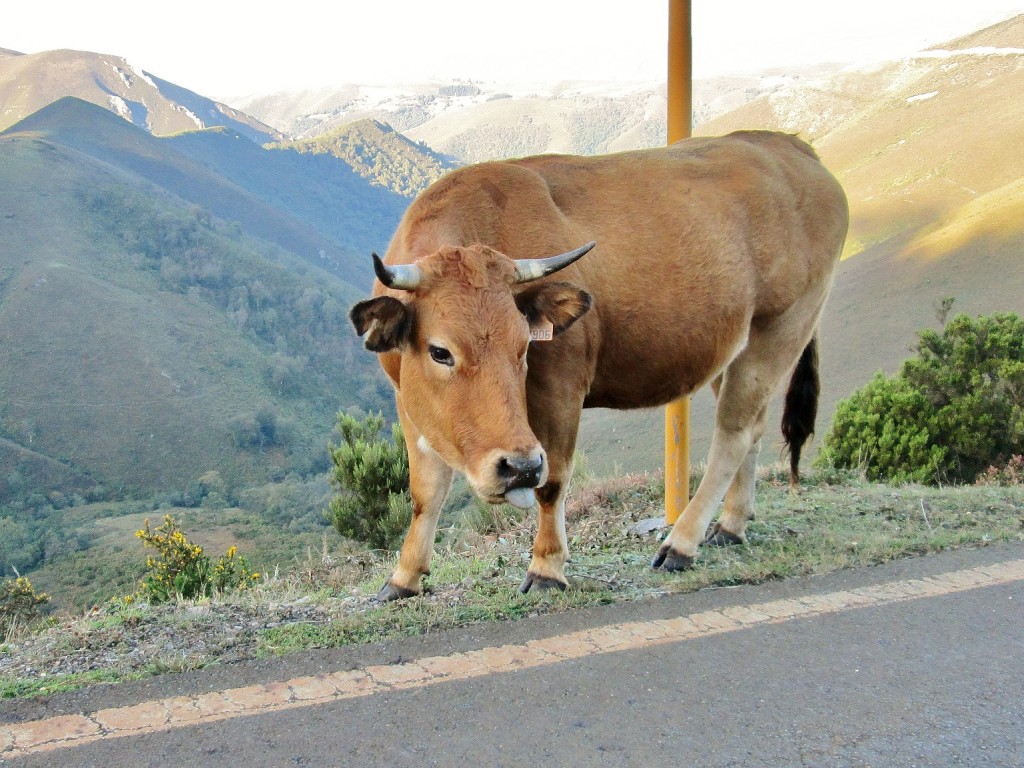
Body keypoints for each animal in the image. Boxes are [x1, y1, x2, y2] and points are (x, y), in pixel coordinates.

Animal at [352, 131, 847, 602]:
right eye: (440, 351)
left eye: (524, 346)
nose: (519, 467)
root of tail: (790, 147)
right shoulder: (410, 404)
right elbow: (425, 493)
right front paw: (403, 577)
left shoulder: (561, 387)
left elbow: (553, 481)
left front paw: (547, 567)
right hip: (736, 348)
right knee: (754, 428)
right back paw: (731, 526)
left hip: (782, 327)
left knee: (734, 435)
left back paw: (681, 543)